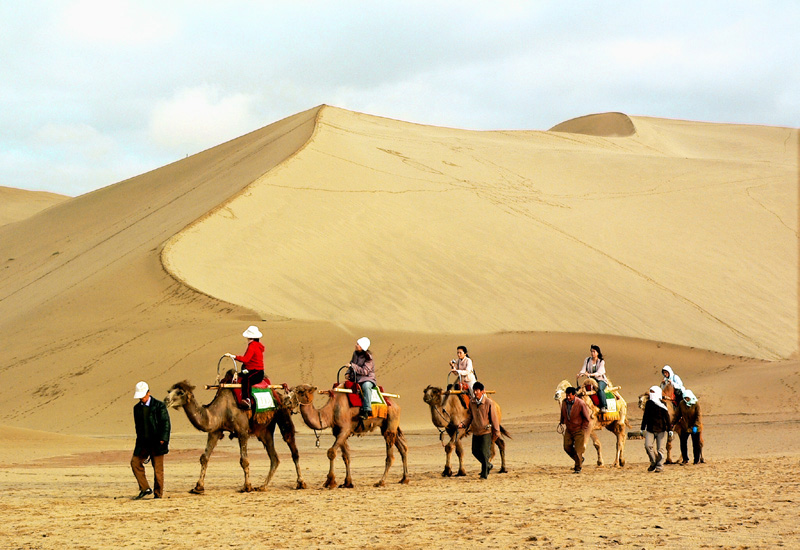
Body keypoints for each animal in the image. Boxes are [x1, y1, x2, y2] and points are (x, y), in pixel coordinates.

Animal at [165, 376, 306, 496]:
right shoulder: (215, 431)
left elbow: (244, 460)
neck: (222, 409)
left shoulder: (242, 431)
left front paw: (247, 486)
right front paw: (198, 487)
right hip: (265, 430)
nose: (166, 400)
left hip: (283, 413)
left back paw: (301, 483)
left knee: (292, 447)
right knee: (274, 457)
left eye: (180, 392)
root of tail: (280, 396)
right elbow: (204, 458)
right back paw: (262, 486)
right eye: (169, 390)